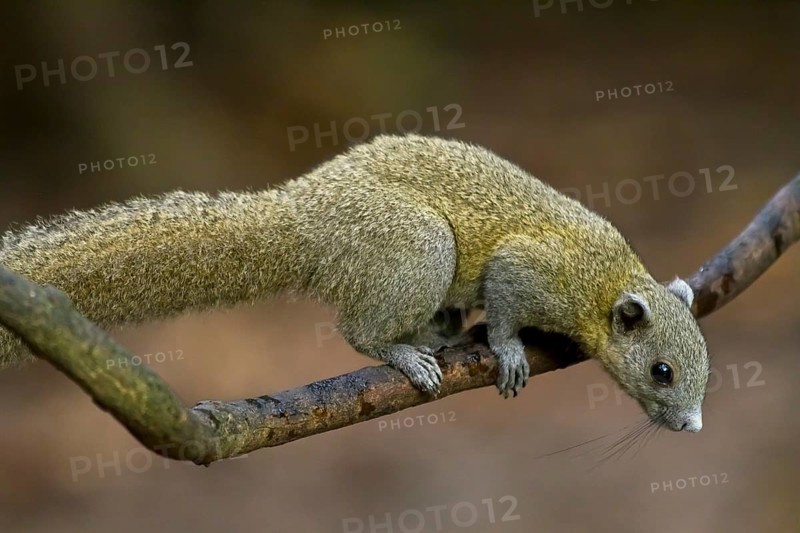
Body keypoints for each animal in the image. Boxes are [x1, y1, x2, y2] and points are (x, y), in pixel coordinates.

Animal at [0, 134, 709, 432]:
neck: (604, 281)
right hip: (418, 246)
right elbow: (507, 306)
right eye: (663, 372)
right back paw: (406, 353)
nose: (692, 426)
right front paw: (509, 352)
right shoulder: (533, 270)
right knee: (356, 330)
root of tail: (303, 218)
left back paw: (438, 332)